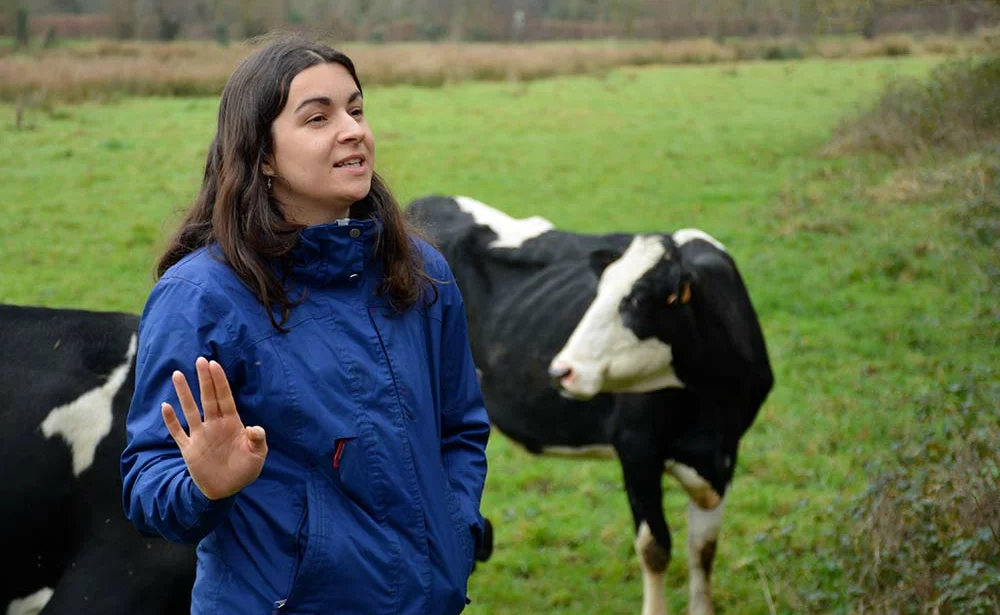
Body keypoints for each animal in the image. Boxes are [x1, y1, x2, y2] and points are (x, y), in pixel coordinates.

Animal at [404, 196, 772, 615]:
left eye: (638, 300)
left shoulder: (725, 453)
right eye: (599, 293)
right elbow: (655, 547)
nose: (561, 370)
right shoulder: (637, 447)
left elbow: (704, 548)